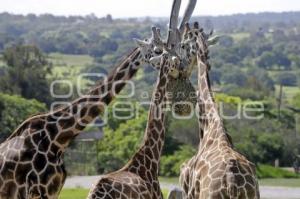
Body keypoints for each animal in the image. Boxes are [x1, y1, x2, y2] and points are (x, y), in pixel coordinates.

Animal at [0, 26, 170, 199]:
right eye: (157, 49)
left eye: (165, 45)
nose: (172, 59)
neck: (57, 138)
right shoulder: (38, 189)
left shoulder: (53, 189)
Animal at [178, 22, 260, 199]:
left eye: (183, 45)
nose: (181, 66)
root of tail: (231, 181)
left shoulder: (190, 193)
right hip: (255, 194)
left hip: (207, 195)